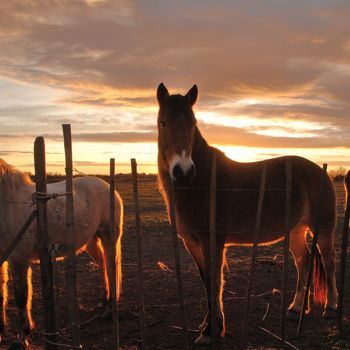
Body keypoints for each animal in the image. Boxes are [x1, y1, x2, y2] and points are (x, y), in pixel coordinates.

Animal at [0, 159, 123, 340]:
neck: (8, 203)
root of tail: (108, 187)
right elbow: (1, 293)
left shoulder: (19, 259)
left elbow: (21, 296)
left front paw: (24, 333)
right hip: (92, 241)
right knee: (102, 265)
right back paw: (105, 300)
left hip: (109, 237)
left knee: (111, 267)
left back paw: (110, 310)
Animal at [156, 83, 336, 344]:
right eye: (163, 122)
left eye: (193, 123)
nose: (183, 172)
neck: (202, 183)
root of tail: (320, 171)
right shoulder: (192, 244)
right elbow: (206, 281)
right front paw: (208, 324)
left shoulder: (213, 242)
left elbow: (215, 283)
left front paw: (211, 331)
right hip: (296, 232)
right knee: (303, 262)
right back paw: (295, 308)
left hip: (323, 231)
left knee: (330, 262)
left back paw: (330, 307)